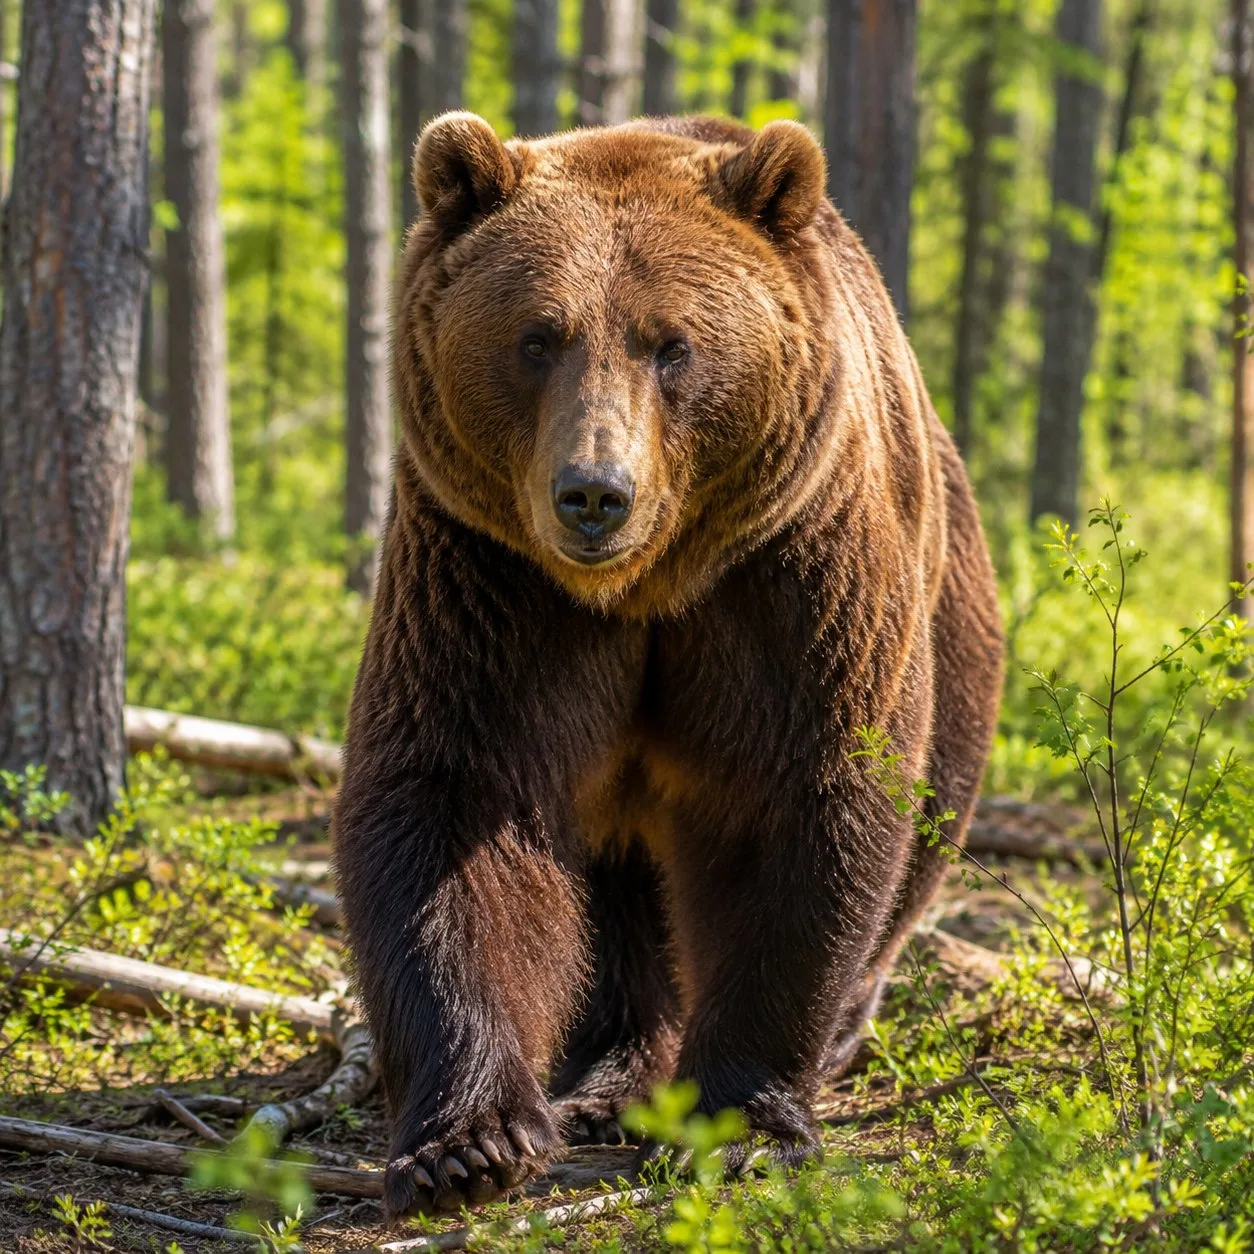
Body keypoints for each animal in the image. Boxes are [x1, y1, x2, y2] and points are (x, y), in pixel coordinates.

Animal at [332, 111, 1004, 1220]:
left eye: (672, 344)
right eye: (537, 337)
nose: (593, 494)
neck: (643, 591)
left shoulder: (788, 579)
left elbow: (801, 802)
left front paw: (743, 1124)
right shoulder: (487, 580)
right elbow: (452, 805)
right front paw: (466, 1141)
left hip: (948, 619)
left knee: (924, 821)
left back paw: (831, 1035)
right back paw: (609, 1077)